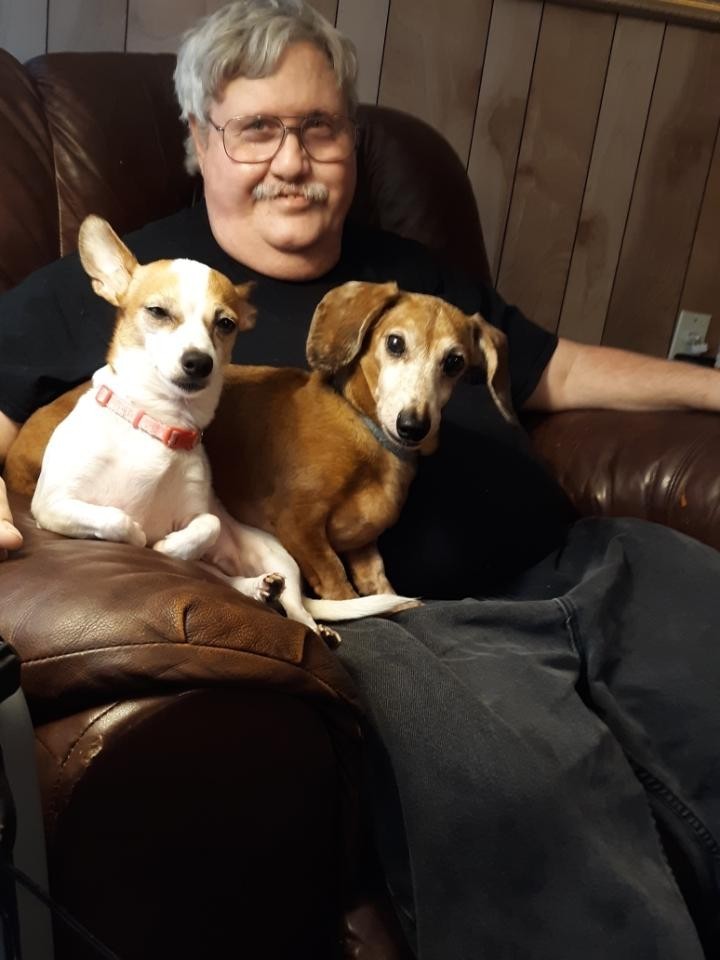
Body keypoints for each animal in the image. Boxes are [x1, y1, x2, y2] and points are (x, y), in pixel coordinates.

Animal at [23, 214, 414, 640]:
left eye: (226, 323)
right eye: (157, 312)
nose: (199, 361)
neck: (159, 421)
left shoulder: (198, 513)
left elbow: (207, 523)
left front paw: (166, 547)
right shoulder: (52, 505)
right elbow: (112, 516)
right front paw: (139, 536)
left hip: (278, 555)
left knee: (294, 606)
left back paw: (295, 612)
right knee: (228, 582)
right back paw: (258, 589)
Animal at [203, 280, 516, 600]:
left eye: (454, 362)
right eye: (395, 343)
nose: (413, 427)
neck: (366, 428)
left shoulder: (362, 548)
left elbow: (381, 587)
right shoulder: (298, 524)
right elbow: (337, 580)